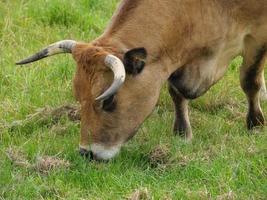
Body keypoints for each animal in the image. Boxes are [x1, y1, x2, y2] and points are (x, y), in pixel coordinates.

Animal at [16, 0, 267, 159]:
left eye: (108, 100)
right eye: (78, 98)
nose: (86, 153)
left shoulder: (257, 37)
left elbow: (249, 80)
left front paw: (255, 123)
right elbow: (176, 92)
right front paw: (182, 132)